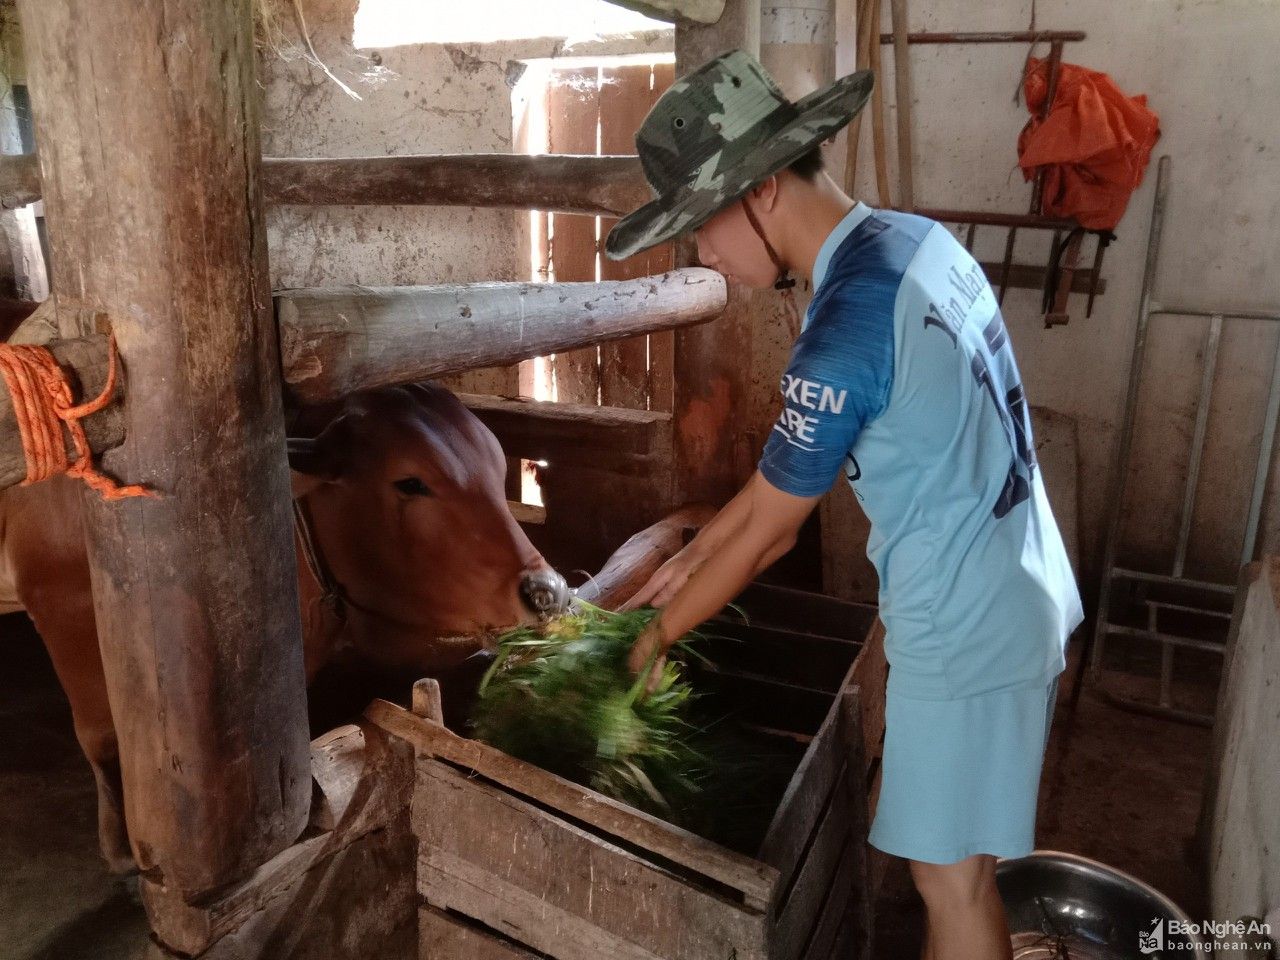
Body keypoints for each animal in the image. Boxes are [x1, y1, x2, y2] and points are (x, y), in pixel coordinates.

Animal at [0, 378, 570, 875]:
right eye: (410, 482)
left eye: (498, 467)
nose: (548, 591)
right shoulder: (60, 610)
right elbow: (100, 737)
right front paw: (120, 848)